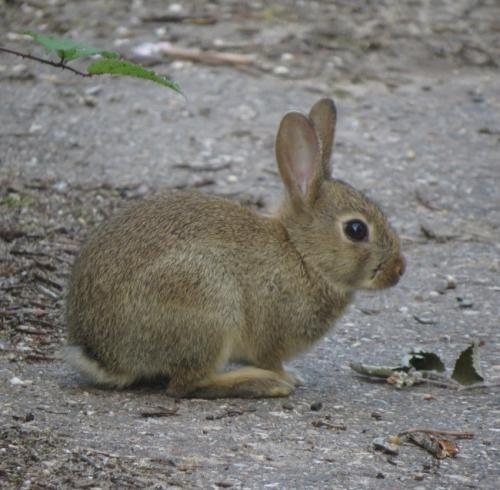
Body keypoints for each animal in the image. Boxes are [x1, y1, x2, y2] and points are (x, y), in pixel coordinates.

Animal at [64, 98, 406, 398]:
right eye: (356, 230)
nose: (399, 270)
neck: (303, 256)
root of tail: (105, 355)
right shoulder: (271, 334)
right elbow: (270, 358)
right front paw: (287, 376)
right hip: (209, 306)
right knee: (185, 386)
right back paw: (264, 383)